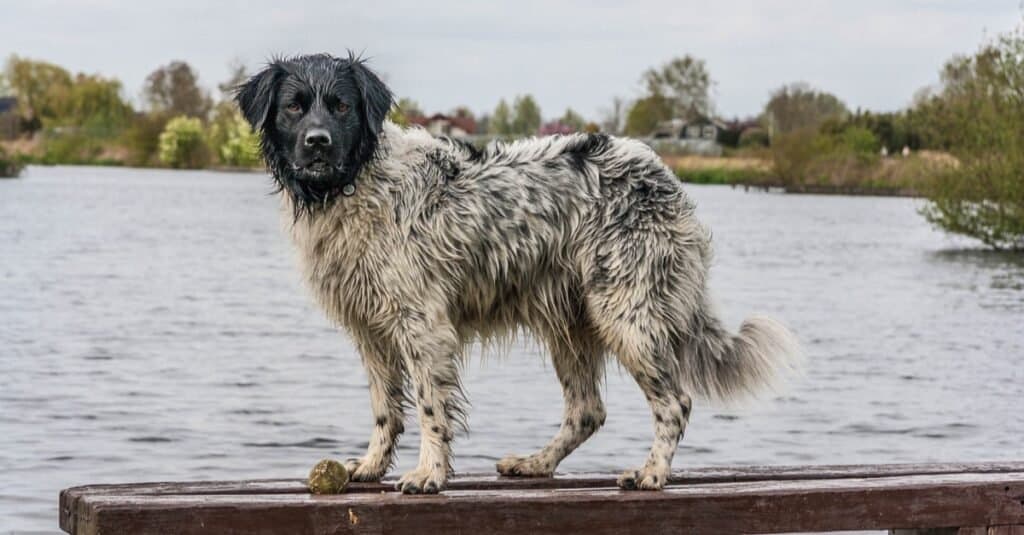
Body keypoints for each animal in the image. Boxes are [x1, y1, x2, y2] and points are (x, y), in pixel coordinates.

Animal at [234, 53, 798, 491]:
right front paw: (371, 466)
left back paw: (651, 474)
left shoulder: (423, 326)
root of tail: (664, 176)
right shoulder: (371, 332)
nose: (318, 142)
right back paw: (536, 464)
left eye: (342, 106)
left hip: (628, 315)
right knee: (588, 410)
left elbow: (430, 408)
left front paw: (429, 474)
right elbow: (385, 410)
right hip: (572, 326)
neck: (353, 183)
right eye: (294, 105)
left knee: (674, 402)